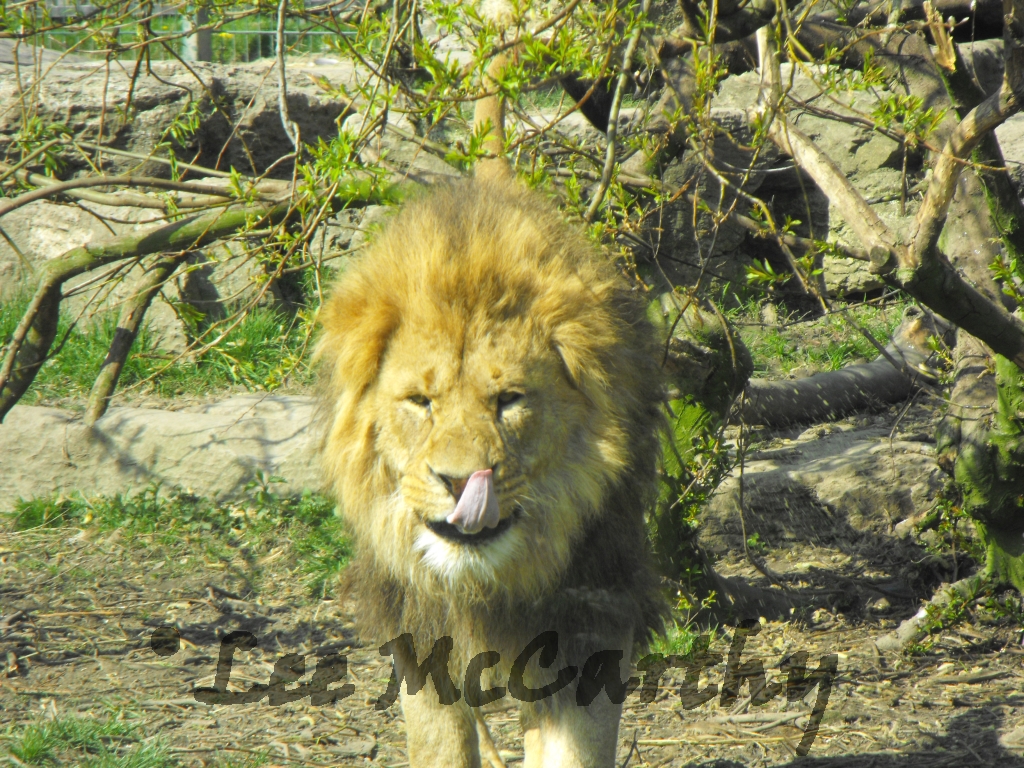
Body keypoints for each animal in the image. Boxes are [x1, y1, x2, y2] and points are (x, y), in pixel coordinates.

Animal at [316, 174, 666, 766]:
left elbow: (573, 751)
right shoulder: (419, 633)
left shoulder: (588, 626)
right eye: (420, 402)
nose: (462, 484)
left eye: (509, 400)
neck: (487, 582)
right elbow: (441, 745)